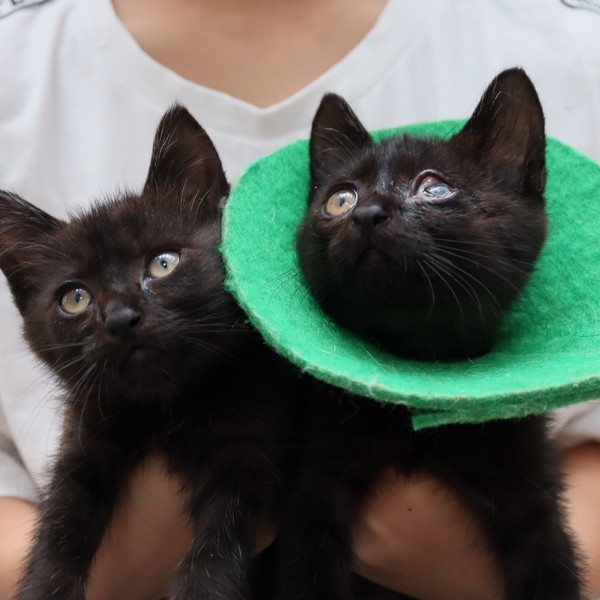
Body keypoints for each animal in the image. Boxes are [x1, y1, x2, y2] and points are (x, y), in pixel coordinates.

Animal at [0, 105, 299, 600]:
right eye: (75, 298)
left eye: (163, 263)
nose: (121, 318)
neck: (168, 405)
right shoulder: (86, 437)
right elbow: (61, 525)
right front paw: (45, 586)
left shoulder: (248, 450)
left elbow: (215, 553)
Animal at [279, 69, 581, 600]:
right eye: (341, 198)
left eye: (433, 188)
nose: (367, 213)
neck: (418, 370)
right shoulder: (315, 482)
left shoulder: (529, 486)